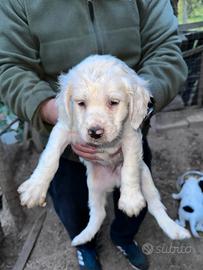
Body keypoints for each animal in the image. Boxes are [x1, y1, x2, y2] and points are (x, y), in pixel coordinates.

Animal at [17, 54, 190, 245]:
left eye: (113, 102)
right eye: (81, 103)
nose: (95, 132)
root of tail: (114, 182)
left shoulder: (131, 135)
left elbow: (130, 166)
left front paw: (130, 200)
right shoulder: (62, 128)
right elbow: (50, 156)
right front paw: (34, 188)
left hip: (145, 176)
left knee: (155, 205)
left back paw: (175, 230)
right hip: (93, 187)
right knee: (98, 213)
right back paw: (82, 237)